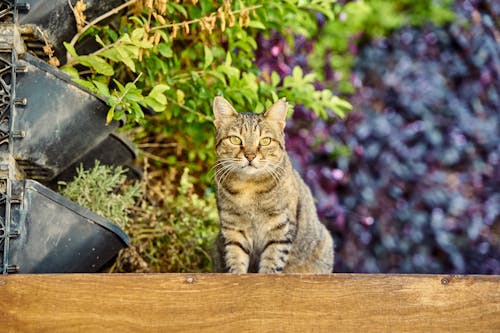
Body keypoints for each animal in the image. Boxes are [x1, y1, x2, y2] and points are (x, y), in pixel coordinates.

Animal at [212, 96, 336, 272]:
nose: (250, 156)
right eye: (235, 139)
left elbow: (272, 262)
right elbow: (235, 258)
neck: (249, 187)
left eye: (265, 141)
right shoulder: (233, 226)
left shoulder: (281, 227)